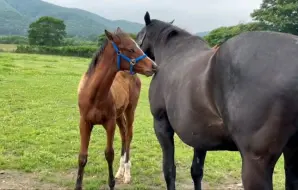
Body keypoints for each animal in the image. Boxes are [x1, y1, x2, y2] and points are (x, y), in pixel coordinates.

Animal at [75, 27, 157, 190]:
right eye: (131, 49)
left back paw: (127, 173)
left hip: (130, 109)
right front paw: (77, 186)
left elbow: (109, 153)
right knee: (124, 134)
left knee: (129, 135)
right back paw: (120, 171)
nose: (154, 66)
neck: (95, 94)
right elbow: (82, 156)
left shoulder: (109, 123)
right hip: (119, 115)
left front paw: (112, 183)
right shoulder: (84, 122)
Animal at [137, 11, 298, 190]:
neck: (172, 55)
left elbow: (169, 170)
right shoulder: (199, 133)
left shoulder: (161, 123)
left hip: (256, 163)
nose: (146, 66)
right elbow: (196, 171)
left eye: (139, 37)